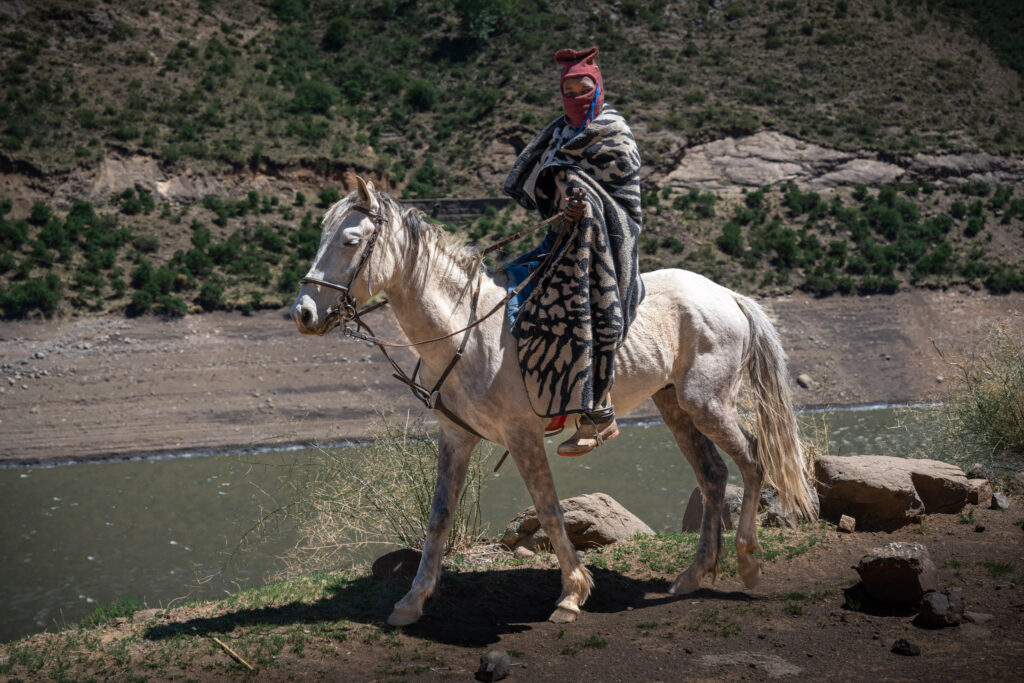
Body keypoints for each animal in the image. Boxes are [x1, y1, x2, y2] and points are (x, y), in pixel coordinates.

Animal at [291, 177, 815, 626]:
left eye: (351, 240)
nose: (303, 313)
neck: (472, 333)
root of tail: (728, 294)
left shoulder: (522, 436)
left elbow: (547, 508)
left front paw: (572, 594)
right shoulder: (457, 437)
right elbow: (439, 517)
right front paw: (412, 601)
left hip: (708, 403)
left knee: (752, 462)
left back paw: (748, 565)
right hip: (675, 407)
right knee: (713, 475)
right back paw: (692, 575)